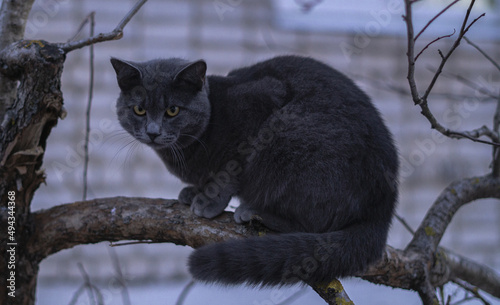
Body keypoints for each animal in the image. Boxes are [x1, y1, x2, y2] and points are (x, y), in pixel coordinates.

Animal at [110, 55, 398, 286]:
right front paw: (193, 192)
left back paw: (255, 212)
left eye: (172, 110)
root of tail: (381, 213)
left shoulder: (257, 109)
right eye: (139, 109)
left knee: (313, 224)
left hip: (291, 137)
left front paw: (209, 200)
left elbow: (229, 169)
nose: (153, 132)